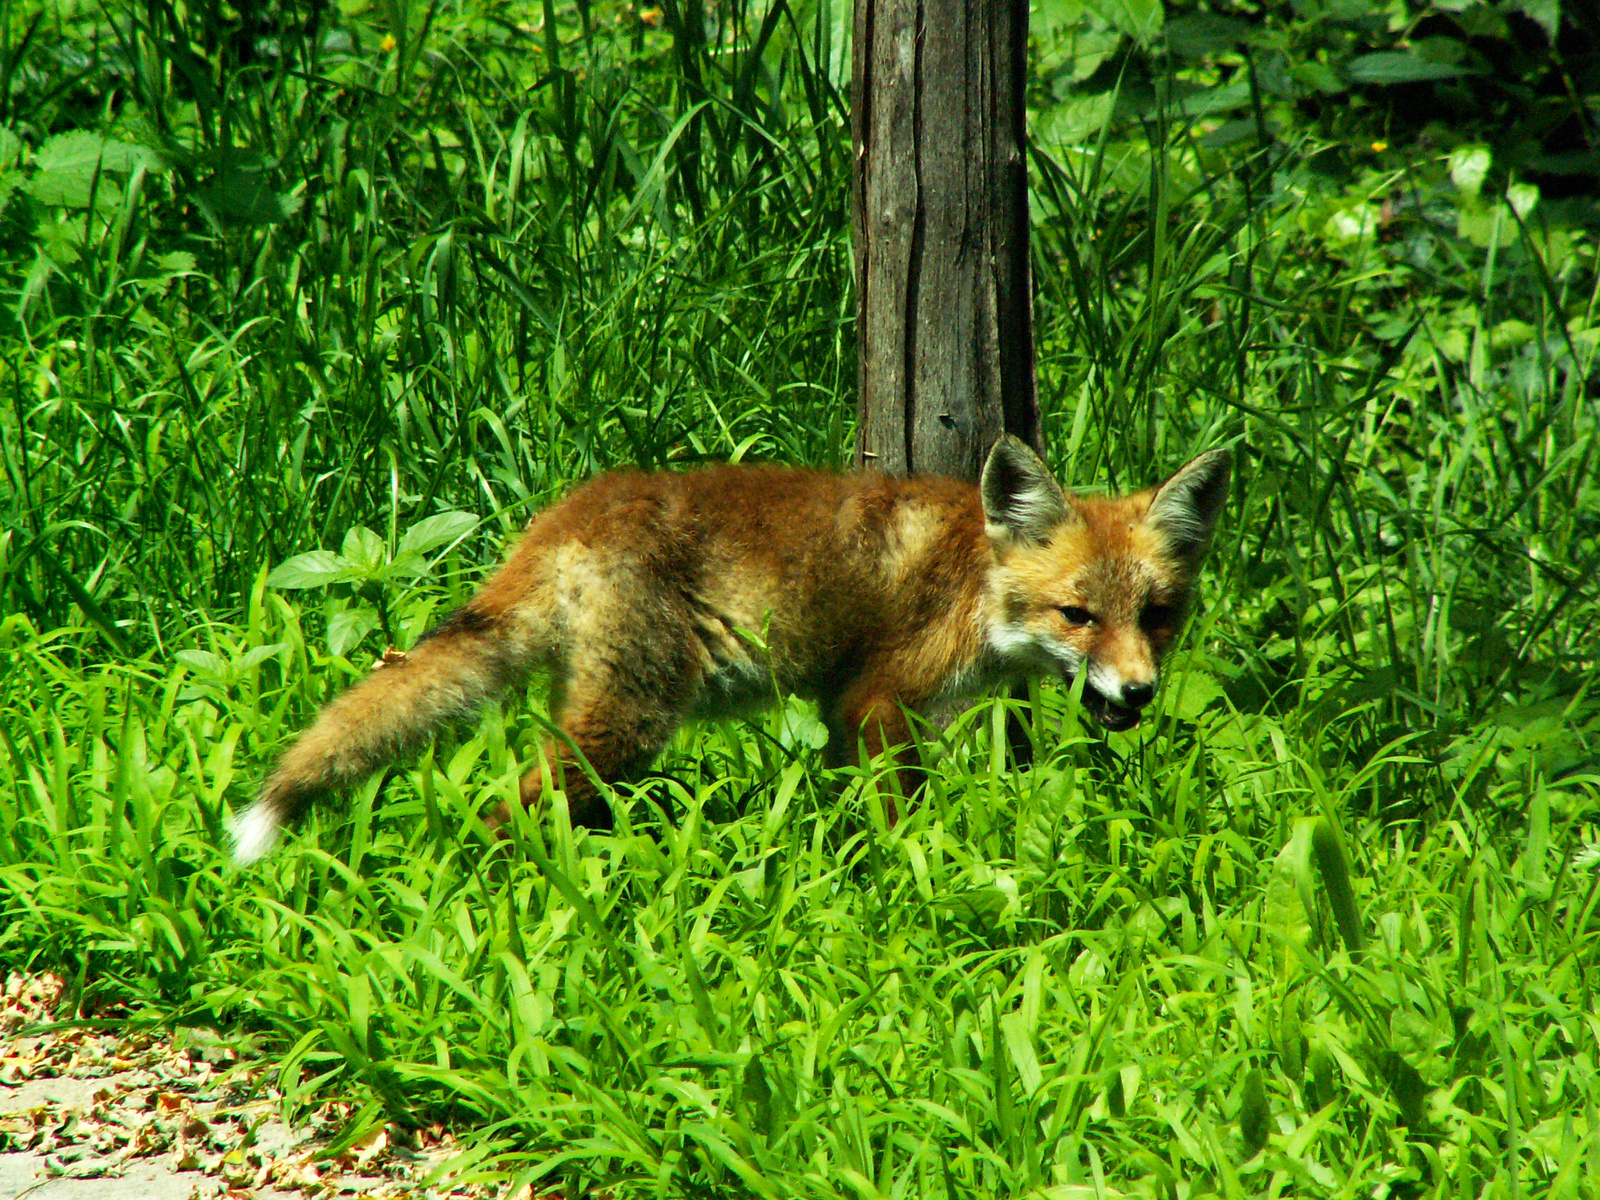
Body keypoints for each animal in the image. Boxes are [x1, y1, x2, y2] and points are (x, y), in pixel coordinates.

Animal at [232, 438, 1228, 857]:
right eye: (1078, 615)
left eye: (1158, 615)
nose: (1139, 693)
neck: (974, 582)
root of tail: (569, 511)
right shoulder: (883, 700)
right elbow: (900, 823)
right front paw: (919, 881)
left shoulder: (840, 710)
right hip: (625, 728)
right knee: (499, 811)